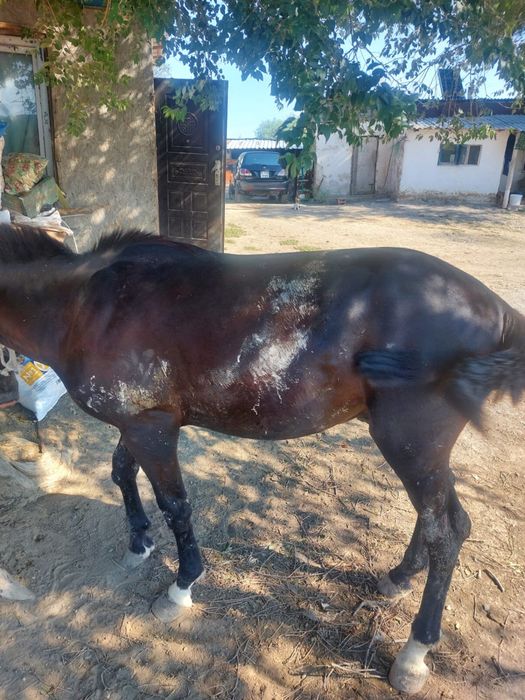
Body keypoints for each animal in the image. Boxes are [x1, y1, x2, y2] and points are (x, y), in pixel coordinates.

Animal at [0, 223, 523, 695]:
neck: (84, 305)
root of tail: (497, 310)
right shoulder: (137, 425)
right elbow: (121, 473)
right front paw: (139, 543)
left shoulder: (152, 428)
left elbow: (176, 505)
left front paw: (182, 586)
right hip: (417, 450)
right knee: (432, 519)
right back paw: (397, 578)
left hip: (411, 441)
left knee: (448, 530)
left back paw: (415, 654)